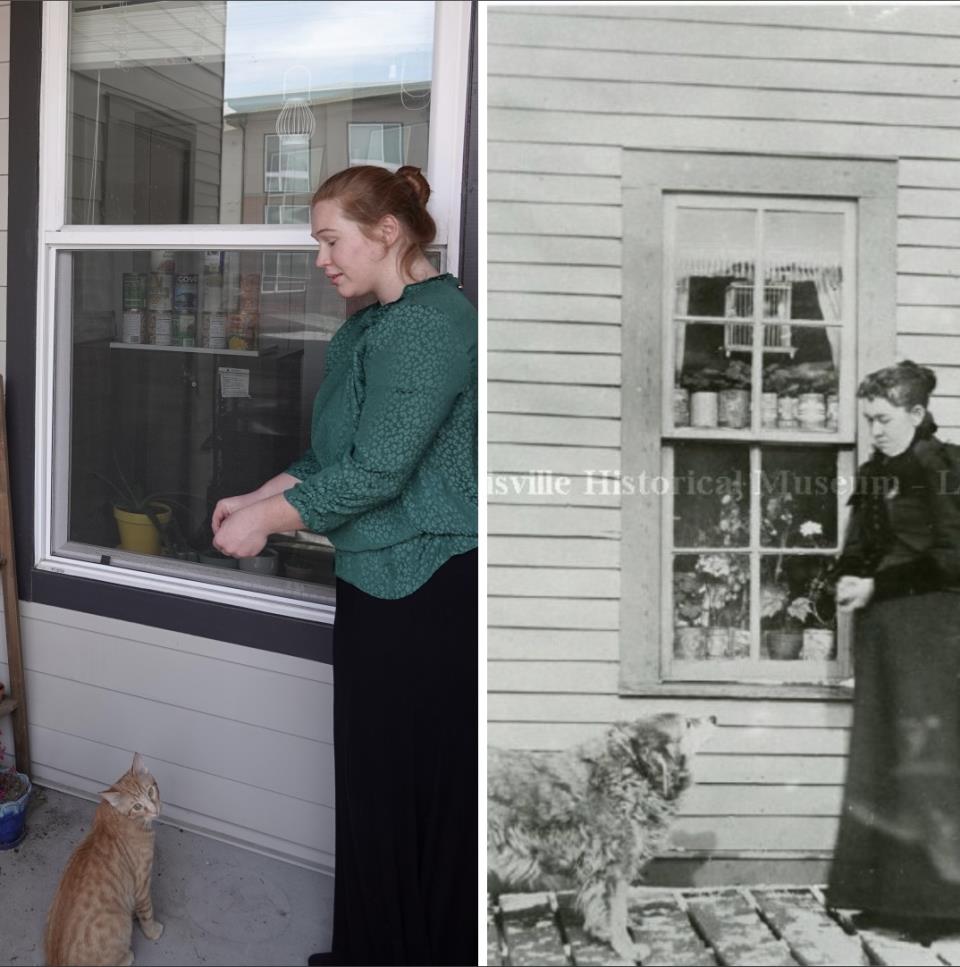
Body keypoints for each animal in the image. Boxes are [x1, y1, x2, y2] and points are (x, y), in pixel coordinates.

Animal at [44, 756, 163, 967]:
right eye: (137, 806)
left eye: (150, 791)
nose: (155, 809)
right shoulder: (141, 883)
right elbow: (147, 911)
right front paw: (152, 931)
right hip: (121, 926)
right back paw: (127, 956)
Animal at [492, 716, 716, 964]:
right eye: (688, 724)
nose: (714, 718)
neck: (631, 773)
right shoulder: (614, 869)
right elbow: (616, 914)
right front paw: (626, 948)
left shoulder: (598, 874)